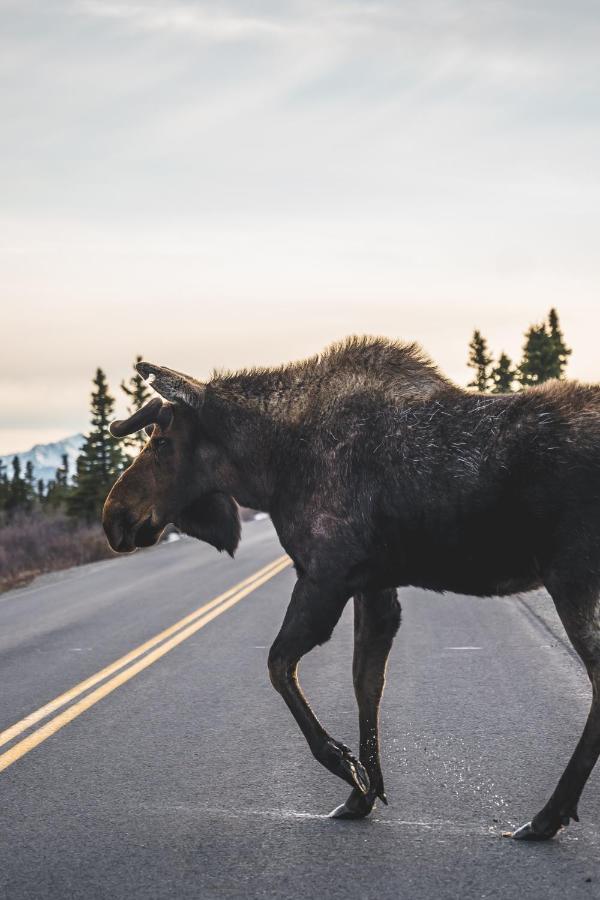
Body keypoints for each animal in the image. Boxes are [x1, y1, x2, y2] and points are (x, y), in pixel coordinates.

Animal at [103, 334, 600, 840]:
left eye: (162, 443)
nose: (114, 518)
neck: (270, 468)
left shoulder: (325, 575)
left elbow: (279, 665)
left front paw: (347, 769)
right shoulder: (373, 586)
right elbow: (366, 683)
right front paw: (364, 793)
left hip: (571, 577)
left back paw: (547, 816)